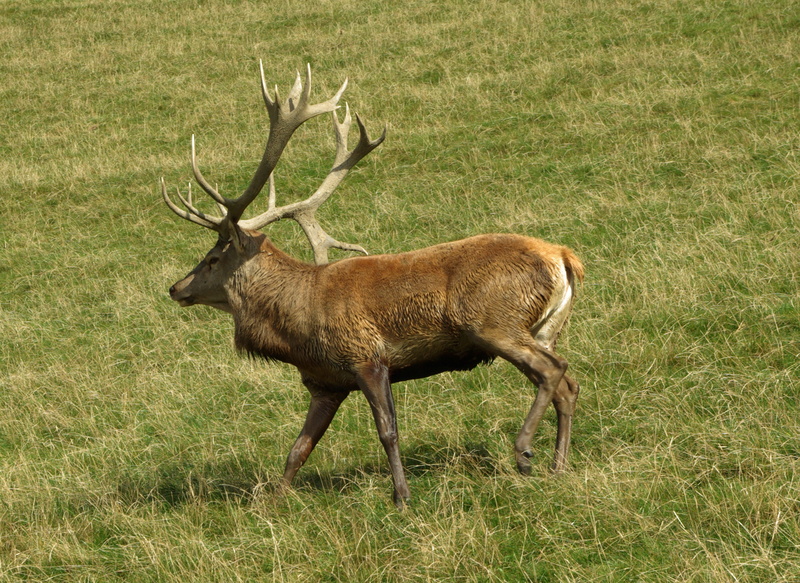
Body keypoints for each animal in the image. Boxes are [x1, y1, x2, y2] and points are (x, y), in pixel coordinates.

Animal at [161, 63, 584, 508]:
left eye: (213, 257)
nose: (175, 287)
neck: (297, 330)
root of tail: (563, 257)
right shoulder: (325, 384)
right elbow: (298, 448)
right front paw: (276, 499)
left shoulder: (366, 357)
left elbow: (388, 432)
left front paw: (401, 498)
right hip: (545, 327)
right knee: (567, 385)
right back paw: (558, 465)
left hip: (494, 322)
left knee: (554, 370)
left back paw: (524, 451)